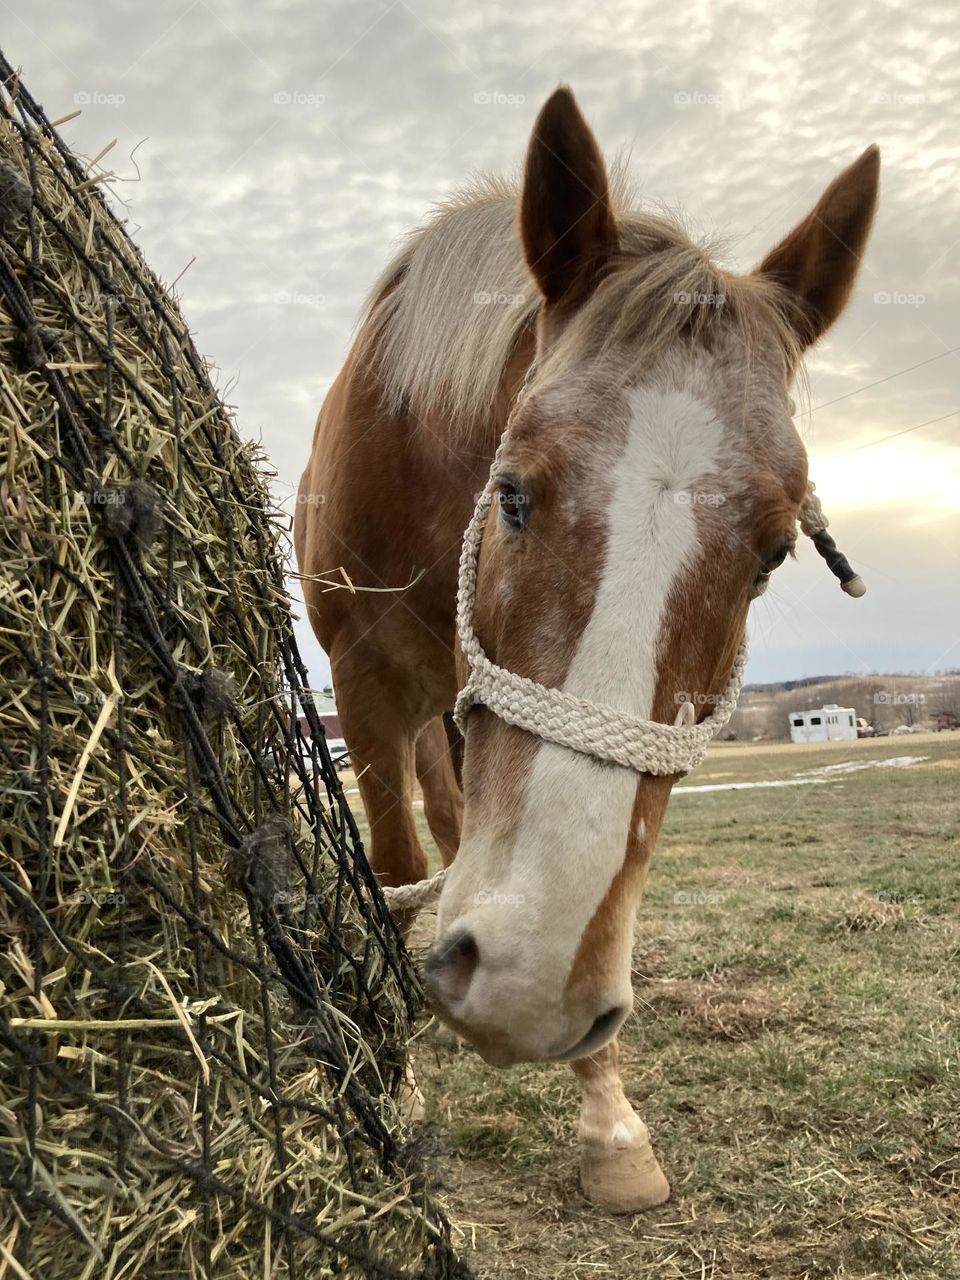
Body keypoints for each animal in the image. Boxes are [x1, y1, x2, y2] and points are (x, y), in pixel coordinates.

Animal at [295, 87, 880, 1208]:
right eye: (512, 491)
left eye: (773, 553)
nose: (527, 984)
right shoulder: (366, 686)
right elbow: (395, 865)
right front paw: (404, 1091)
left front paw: (609, 1120)